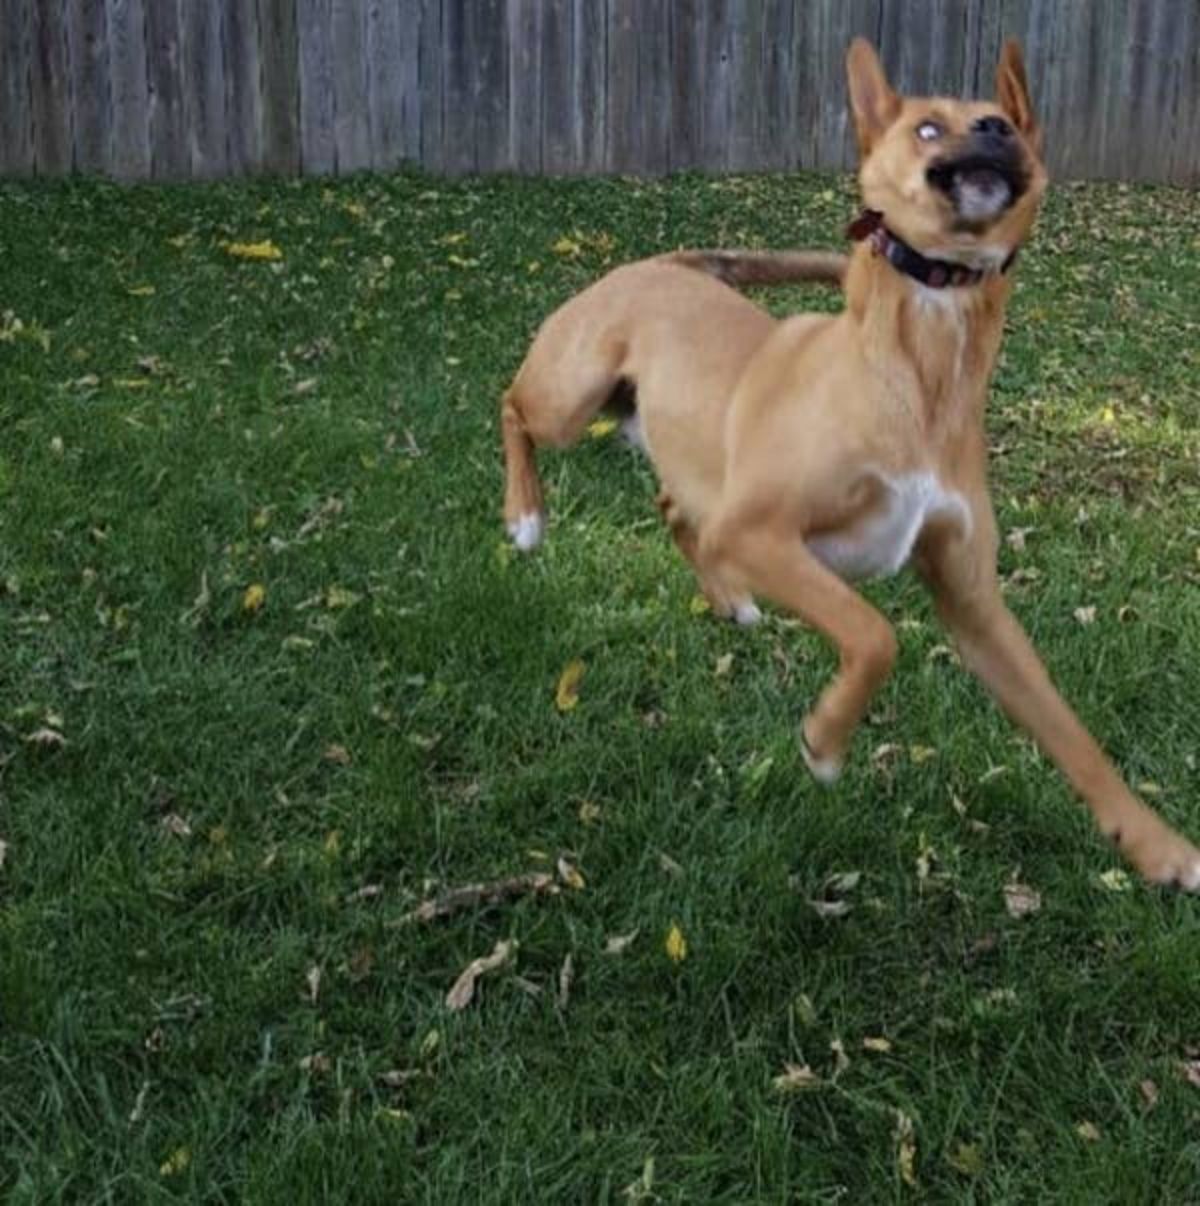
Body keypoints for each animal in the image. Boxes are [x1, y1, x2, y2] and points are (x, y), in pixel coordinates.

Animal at [496, 37, 1200, 892]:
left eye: (1007, 121)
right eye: (928, 126)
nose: (995, 130)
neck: (921, 376)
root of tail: (663, 262)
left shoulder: (975, 607)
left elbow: (1071, 733)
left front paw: (1157, 845)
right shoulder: (763, 533)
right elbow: (875, 634)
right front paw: (827, 741)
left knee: (673, 508)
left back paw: (731, 600)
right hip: (572, 396)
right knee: (512, 408)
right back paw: (526, 516)